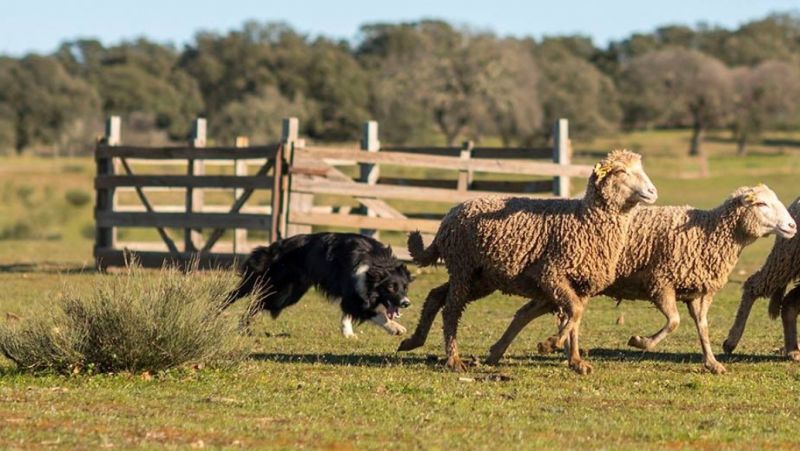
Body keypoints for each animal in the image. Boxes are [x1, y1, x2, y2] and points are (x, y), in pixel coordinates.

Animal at [398, 150, 656, 376]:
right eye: (621, 171)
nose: (652, 192)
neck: (585, 219)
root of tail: (449, 216)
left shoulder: (581, 285)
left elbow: (576, 318)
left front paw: (576, 361)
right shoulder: (550, 273)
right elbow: (573, 313)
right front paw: (552, 344)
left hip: (480, 278)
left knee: (436, 295)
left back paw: (413, 341)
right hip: (463, 266)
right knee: (451, 309)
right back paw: (453, 359)